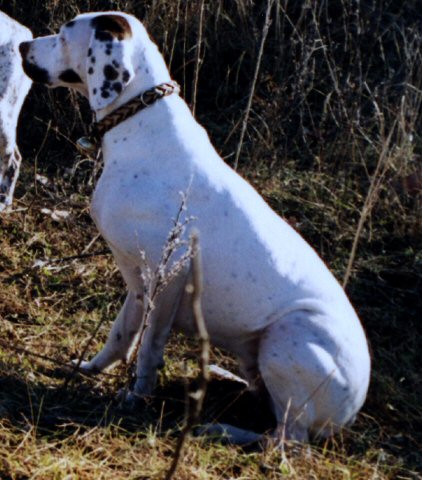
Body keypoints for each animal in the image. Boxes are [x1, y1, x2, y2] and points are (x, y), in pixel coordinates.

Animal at [19, 11, 370, 444]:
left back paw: (221, 429)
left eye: (65, 34)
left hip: (289, 335)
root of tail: (351, 412)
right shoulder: (138, 283)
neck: (139, 123)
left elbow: (149, 348)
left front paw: (136, 398)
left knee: (285, 441)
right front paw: (90, 369)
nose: (22, 45)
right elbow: (121, 335)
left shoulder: (170, 274)